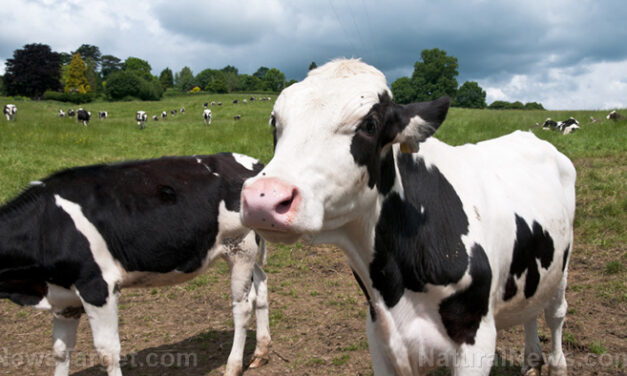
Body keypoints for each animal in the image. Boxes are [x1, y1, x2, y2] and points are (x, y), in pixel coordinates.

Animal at [0, 153, 270, 376]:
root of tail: (255, 164)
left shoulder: (98, 287)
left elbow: (108, 353)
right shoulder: (64, 298)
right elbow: (60, 351)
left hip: (241, 247)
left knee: (242, 306)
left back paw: (233, 367)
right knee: (261, 285)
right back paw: (261, 351)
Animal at [242, 58, 580, 376]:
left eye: (370, 124)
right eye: (275, 121)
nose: (263, 198)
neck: (396, 282)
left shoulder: (477, 339)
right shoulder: (380, 336)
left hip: (562, 267)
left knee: (556, 314)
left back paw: (556, 364)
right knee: (531, 308)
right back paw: (532, 360)